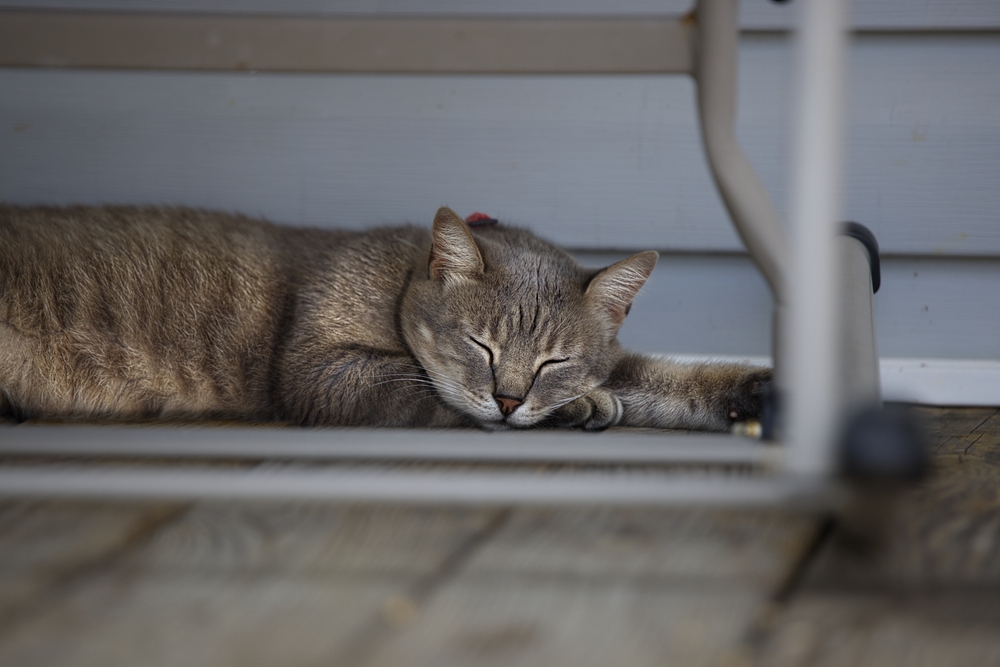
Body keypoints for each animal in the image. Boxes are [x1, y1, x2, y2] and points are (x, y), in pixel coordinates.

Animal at [0, 206, 768, 430]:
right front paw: (579, 406)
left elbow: (664, 375)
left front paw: (753, 389)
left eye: (554, 360)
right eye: (482, 347)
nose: (510, 399)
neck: (399, 278)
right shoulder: (321, 371)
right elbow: (427, 391)